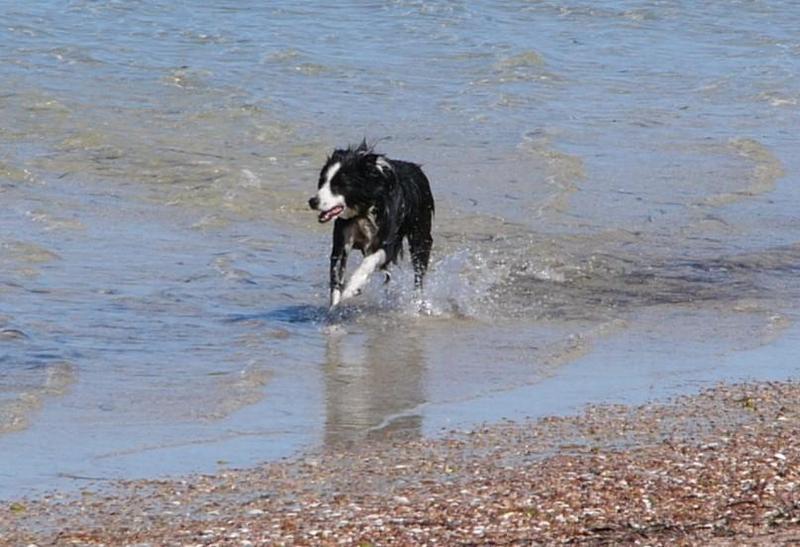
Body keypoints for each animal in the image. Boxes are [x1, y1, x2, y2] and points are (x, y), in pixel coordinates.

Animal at [308, 141, 434, 308]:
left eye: (339, 185)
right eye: (322, 182)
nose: (312, 201)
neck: (365, 207)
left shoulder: (388, 241)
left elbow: (370, 261)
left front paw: (352, 287)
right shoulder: (342, 239)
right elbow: (336, 275)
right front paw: (334, 307)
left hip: (420, 233)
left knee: (419, 272)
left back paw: (418, 302)